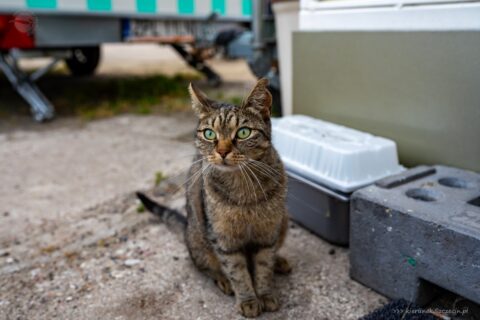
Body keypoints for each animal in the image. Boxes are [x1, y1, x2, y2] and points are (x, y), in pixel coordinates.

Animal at [137, 79, 290, 318]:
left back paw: (280, 262)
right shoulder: (224, 239)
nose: (222, 151)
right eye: (209, 134)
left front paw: (265, 294)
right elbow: (238, 272)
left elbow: (264, 265)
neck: (243, 187)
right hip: (199, 242)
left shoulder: (267, 234)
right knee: (207, 267)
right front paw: (248, 299)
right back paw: (223, 281)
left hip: (283, 223)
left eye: (243, 132)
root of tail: (185, 227)